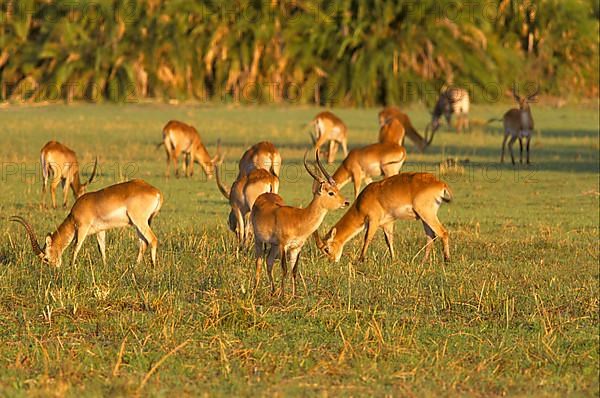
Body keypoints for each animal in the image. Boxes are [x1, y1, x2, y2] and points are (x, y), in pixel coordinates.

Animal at [10, 180, 163, 268]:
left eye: (46, 258)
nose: (54, 268)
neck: (74, 214)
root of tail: (156, 192)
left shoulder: (82, 228)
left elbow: (75, 247)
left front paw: (71, 267)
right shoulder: (100, 231)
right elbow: (102, 249)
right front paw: (105, 267)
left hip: (140, 222)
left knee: (153, 240)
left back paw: (153, 268)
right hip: (138, 225)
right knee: (143, 243)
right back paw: (135, 267)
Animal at [251, 148, 350, 296]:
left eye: (337, 189)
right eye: (331, 193)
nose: (346, 202)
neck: (299, 218)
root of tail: (264, 195)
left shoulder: (296, 247)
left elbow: (294, 270)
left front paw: (294, 295)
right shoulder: (284, 245)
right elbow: (284, 269)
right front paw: (283, 296)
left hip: (273, 245)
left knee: (268, 262)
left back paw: (273, 291)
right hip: (259, 239)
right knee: (259, 262)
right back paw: (255, 290)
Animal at [314, 174, 450, 264]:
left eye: (326, 249)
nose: (332, 261)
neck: (361, 203)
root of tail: (441, 183)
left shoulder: (373, 220)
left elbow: (367, 238)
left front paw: (360, 260)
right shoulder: (387, 223)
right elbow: (389, 241)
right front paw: (393, 260)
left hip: (427, 214)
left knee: (443, 232)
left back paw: (447, 260)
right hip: (424, 217)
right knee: (431, 236)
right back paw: (422, 262)